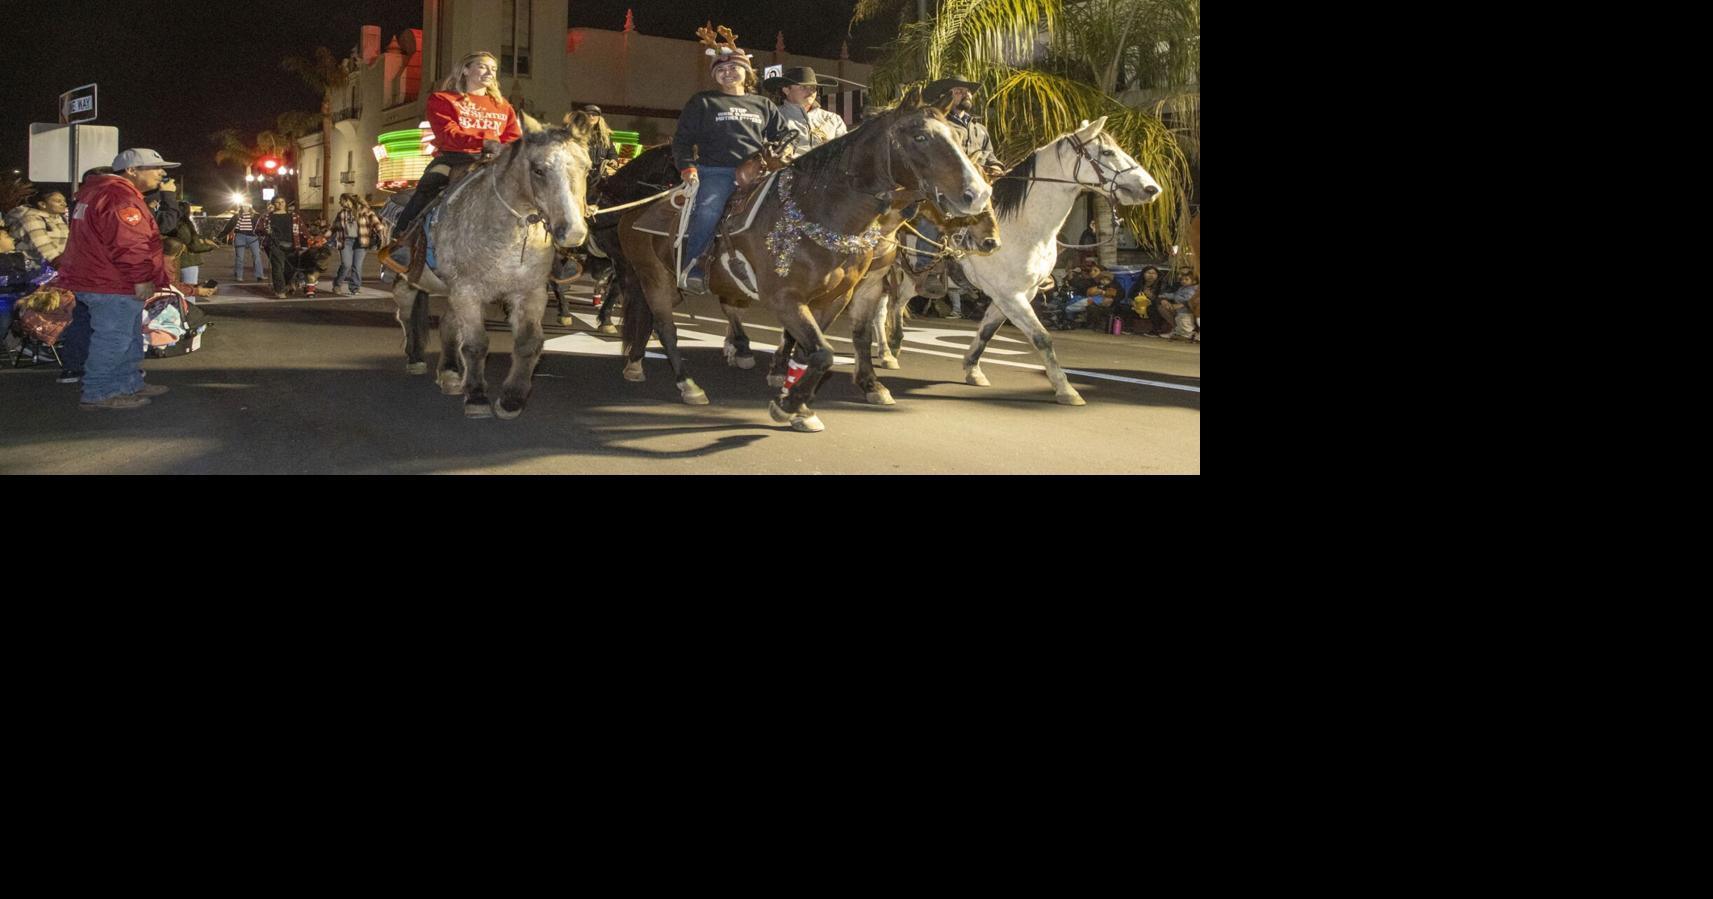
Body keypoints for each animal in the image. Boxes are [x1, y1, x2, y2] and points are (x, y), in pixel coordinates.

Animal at [390, 120, 596, 419]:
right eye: (538, 169)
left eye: (587, 168)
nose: (573, 233)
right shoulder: (468, 291)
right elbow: (476, 345)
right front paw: (476, 396)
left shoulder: (530, 292)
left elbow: (528, 343)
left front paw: (512, 399)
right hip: (410, 280)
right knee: (406, 313)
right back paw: (416, 358)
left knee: (448, 323)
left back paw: (450, 373)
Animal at [616, 91, 993, 431]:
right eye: (920, 136)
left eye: (957, 137)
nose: (977, 195)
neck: (820, 214)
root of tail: (639, 203)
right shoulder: (785, 299)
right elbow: (824, 352)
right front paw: (786, 404)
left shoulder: (836, 298)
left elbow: (817, 351)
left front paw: (798, 403)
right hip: (653, 276)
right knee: (666, 327)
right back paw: (688, 384)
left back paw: (643, 363)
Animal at [856, 117, 1164, 404]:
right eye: (1107, 152)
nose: (1152, 189)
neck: (1024, 225)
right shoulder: (1009, 294)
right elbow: (1042, 337)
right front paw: (1066, 389)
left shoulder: (1018, 294)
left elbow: (987, 332)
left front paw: (973, 370)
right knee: (885, 309)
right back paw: (888, 351)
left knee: (890, 306)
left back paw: (889, 351)